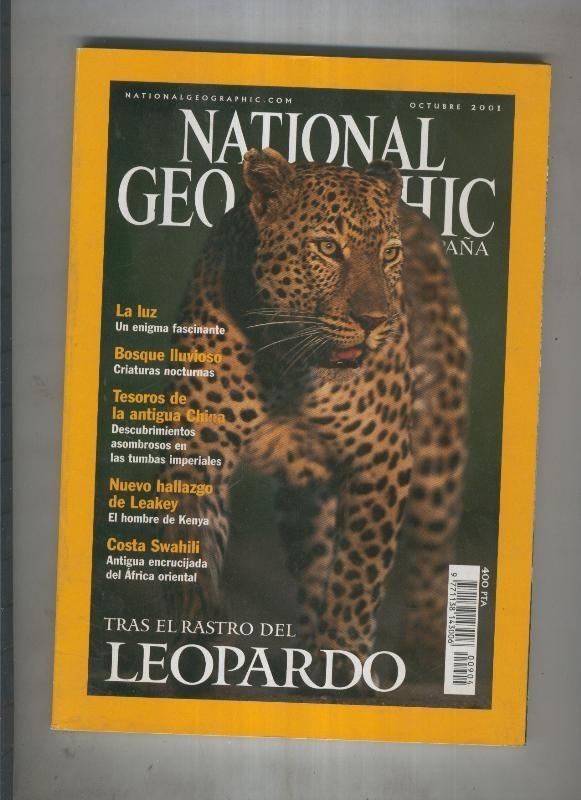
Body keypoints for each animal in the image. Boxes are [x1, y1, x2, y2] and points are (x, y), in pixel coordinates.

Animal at [158, 147, 470, 678]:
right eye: (327, 247)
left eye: (388, 255)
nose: (374, 321)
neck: (289, 362)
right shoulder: (195, 449)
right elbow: (190, 545)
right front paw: (197, 632)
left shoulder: (382, 457)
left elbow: (361, 568)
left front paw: (344, 656)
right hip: (304, 494)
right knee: (316, 558)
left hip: (438, 450)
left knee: (433, 545)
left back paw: (427, 647)